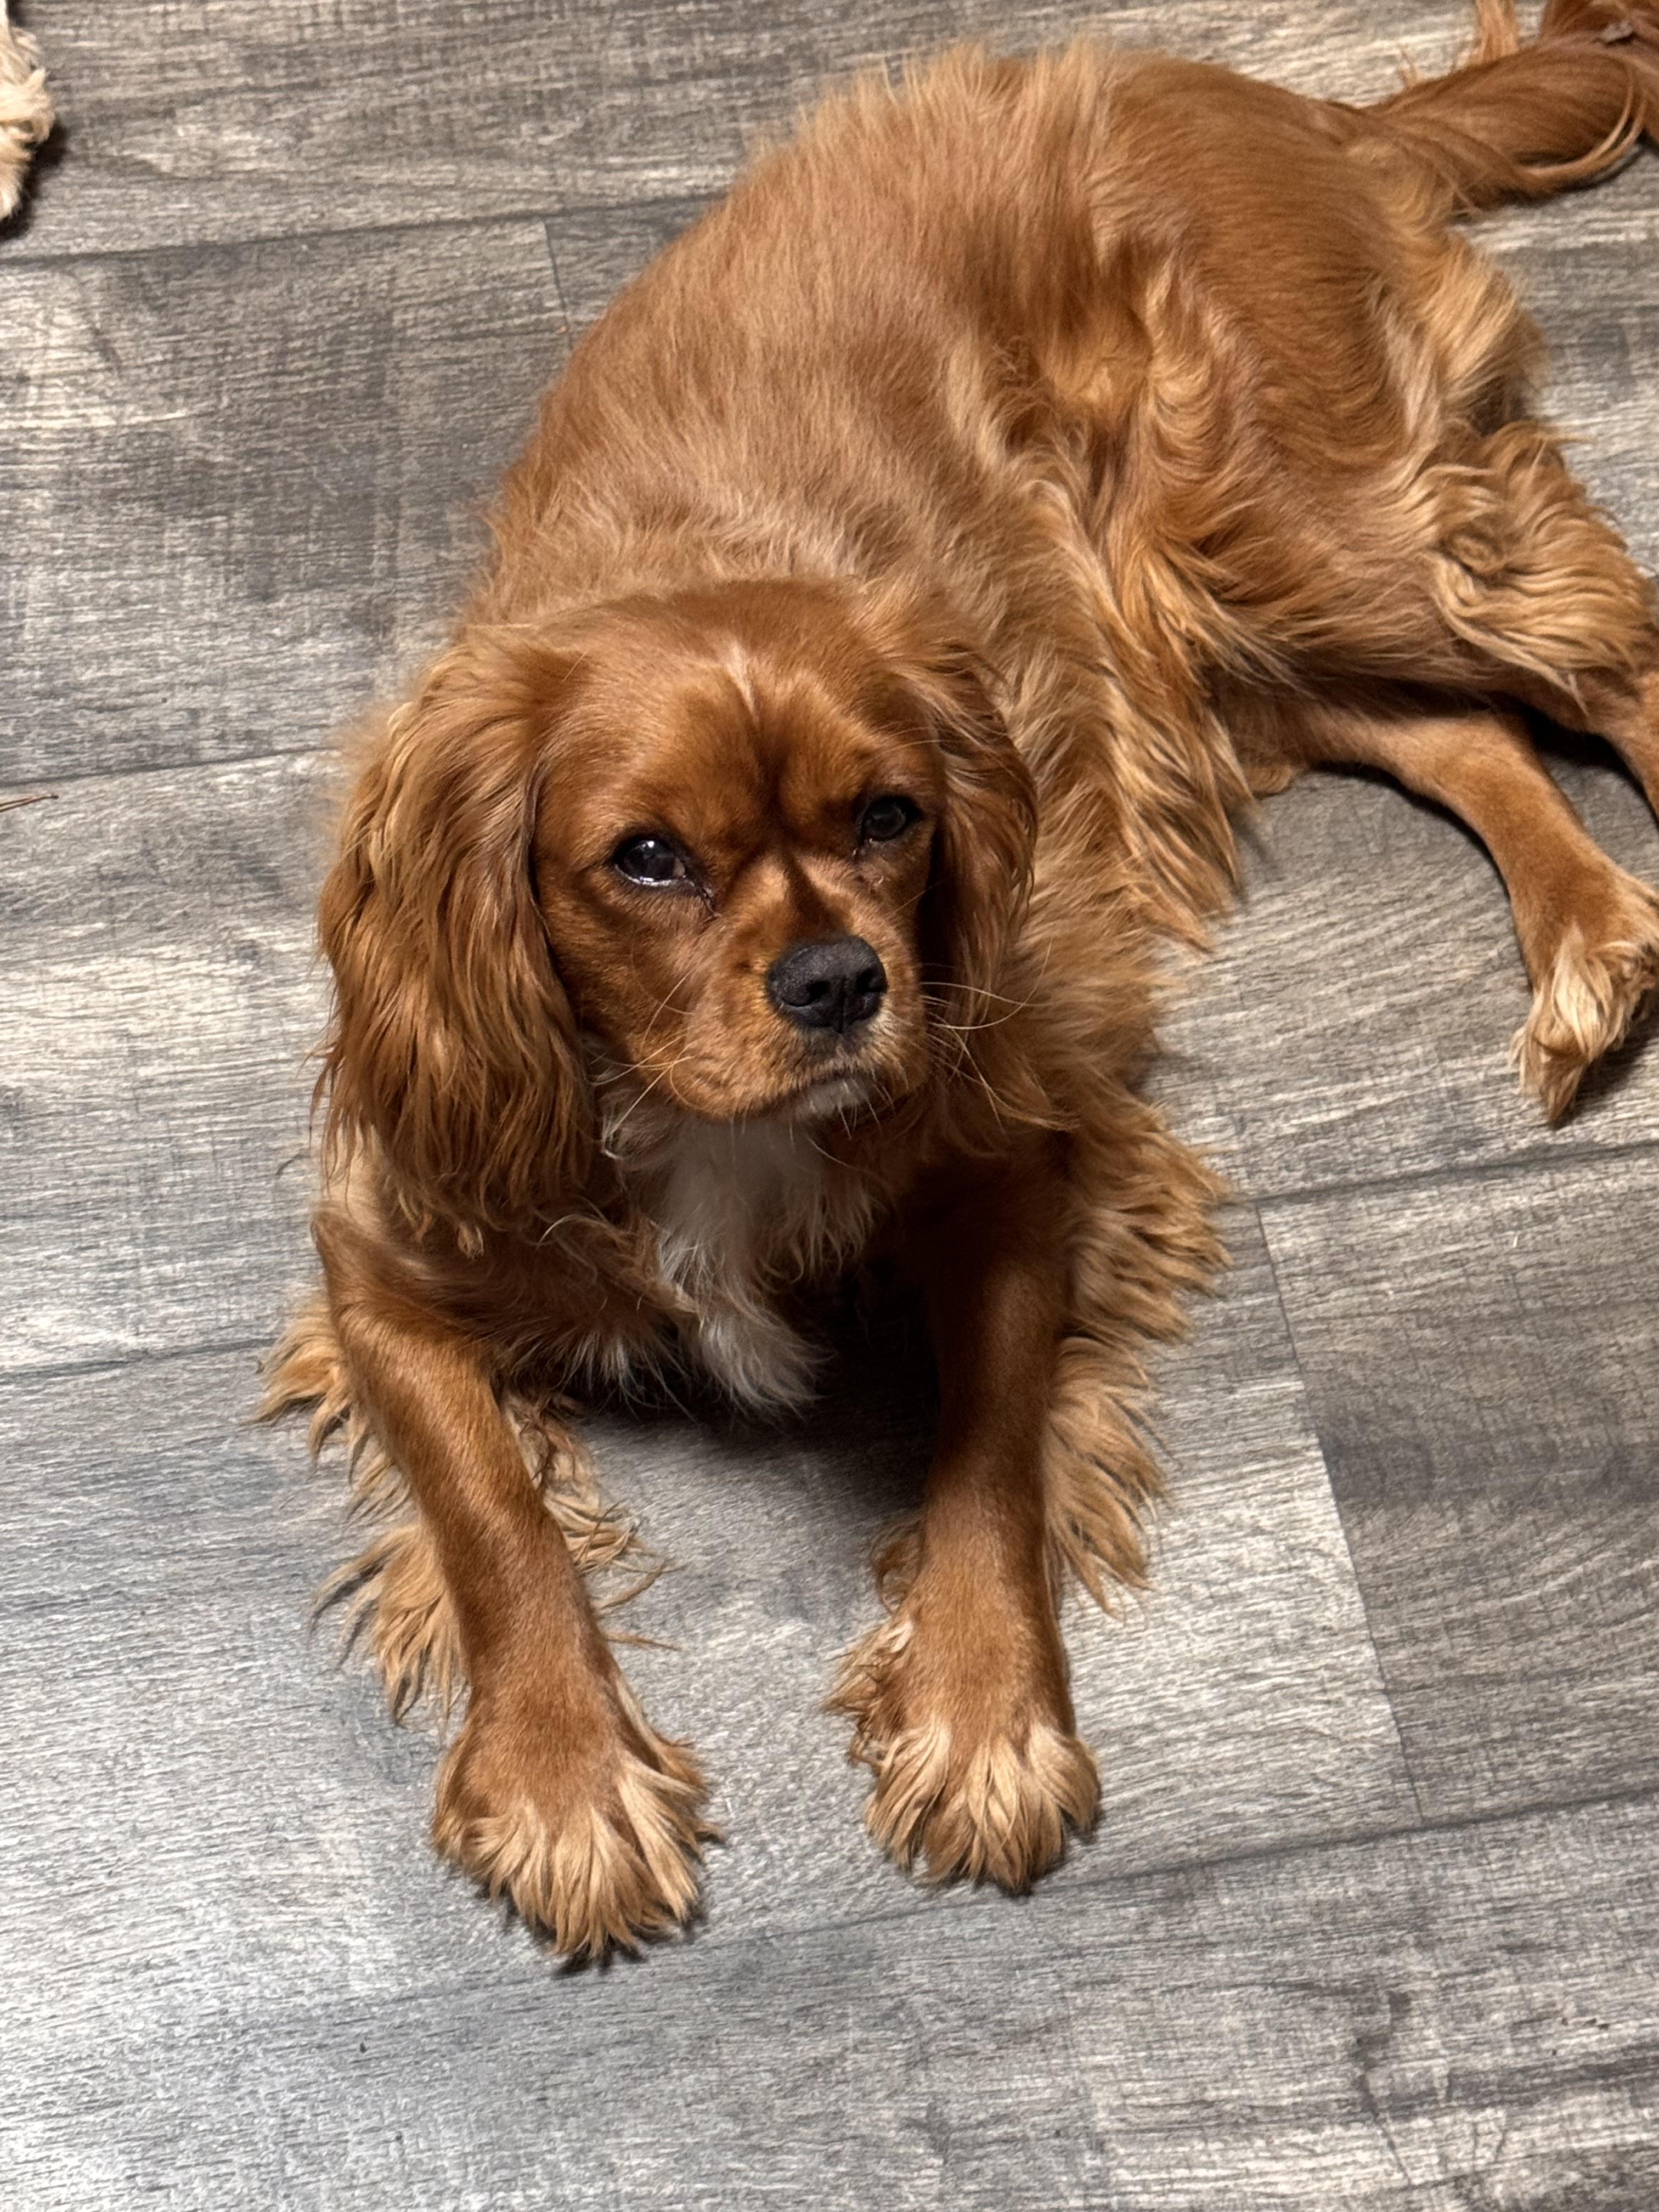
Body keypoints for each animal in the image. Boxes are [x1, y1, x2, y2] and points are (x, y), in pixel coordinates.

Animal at [266, 0, 1659, 1959]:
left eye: (891, 816)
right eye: (647, 859)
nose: (841, 984)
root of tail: (1245, 96)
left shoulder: (1013, 1162)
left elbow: (988, 1457)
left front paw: (983, 1718)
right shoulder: (387, 1251)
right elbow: (490, 1511)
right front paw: (563, 1776)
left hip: (1308, 522)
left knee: (1609, 653)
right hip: (1208, 625)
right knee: (1474, 735)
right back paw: (1591, 941)